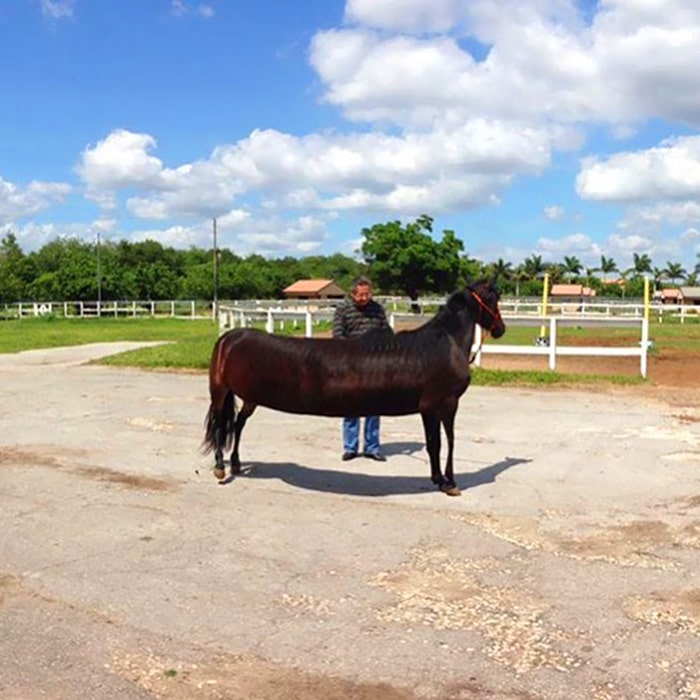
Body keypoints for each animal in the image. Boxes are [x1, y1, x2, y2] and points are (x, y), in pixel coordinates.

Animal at [201, 276, 504, 494]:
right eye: (493, 297)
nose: (501, 329)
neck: (445, 343)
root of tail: (229, 336)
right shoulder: (440, 404)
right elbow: (442, 442)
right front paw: (448, 482)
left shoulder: (435, 407)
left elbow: (436, 443)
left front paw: (440, 479)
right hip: (220, 392)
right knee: (220, 425)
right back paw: (220, 467)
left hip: (249, 397)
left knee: (238, 424)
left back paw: (236, 464)